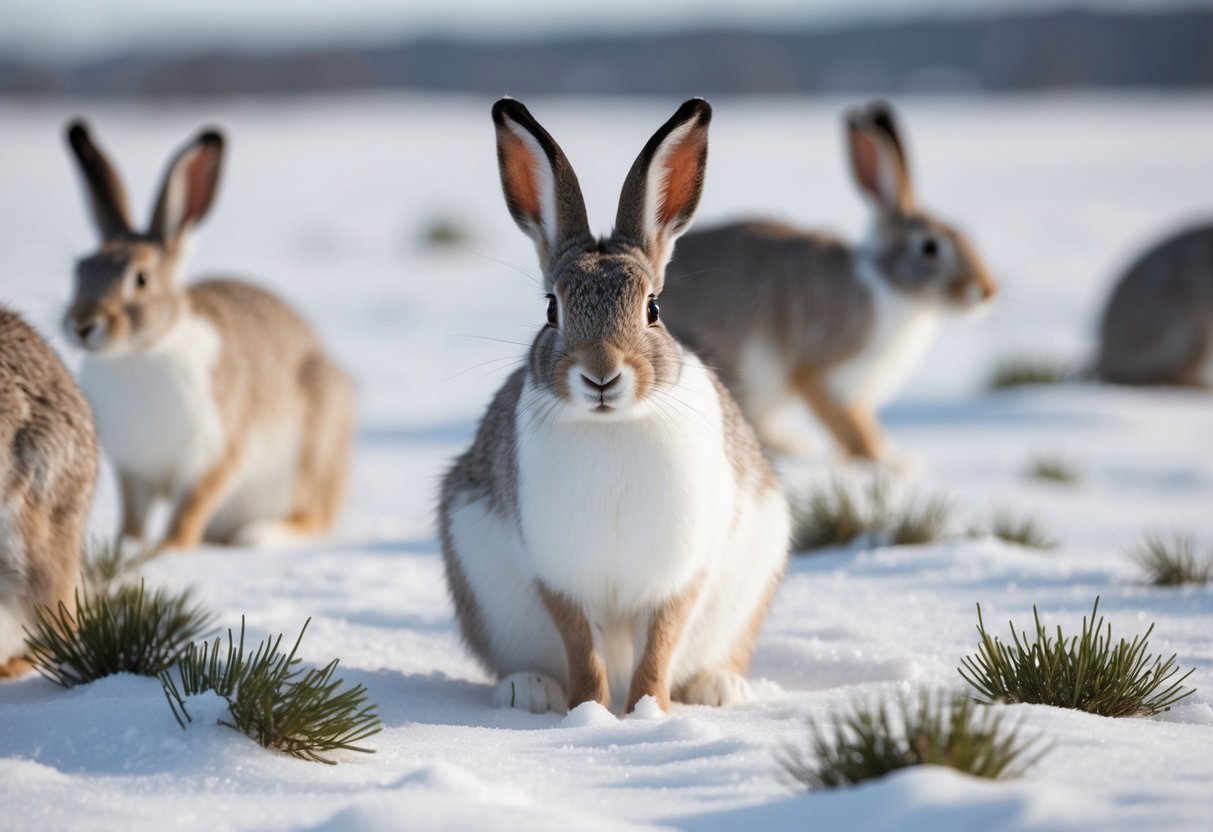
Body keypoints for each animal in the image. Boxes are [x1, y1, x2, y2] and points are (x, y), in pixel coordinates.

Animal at [63, 121, 355, 552]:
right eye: (80, 270)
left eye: (141, 278)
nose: (82, 325)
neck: (141, 354)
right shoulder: (134, 471)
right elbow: (134, 517)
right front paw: (127, 545)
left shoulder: (215, 454)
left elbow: (189, 511)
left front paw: (168, 551)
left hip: (309, 453)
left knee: (314, 517)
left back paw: (260, 534)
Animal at [438, 98, 790, 716]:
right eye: (551, 309)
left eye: (653, 308)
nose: (601, 374)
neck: (614, 425)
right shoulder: (557, 573)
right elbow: (582, 647)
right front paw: (592, 715)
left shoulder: (681, 572)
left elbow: (661, 644)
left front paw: (647, 712)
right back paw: (528, 692)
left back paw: (719, 689)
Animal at [661, 101, 997, 463]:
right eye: (930, 247)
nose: (987, 290)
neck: (889, 284)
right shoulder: (822, 372)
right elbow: (852, 429)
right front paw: (890, 463)